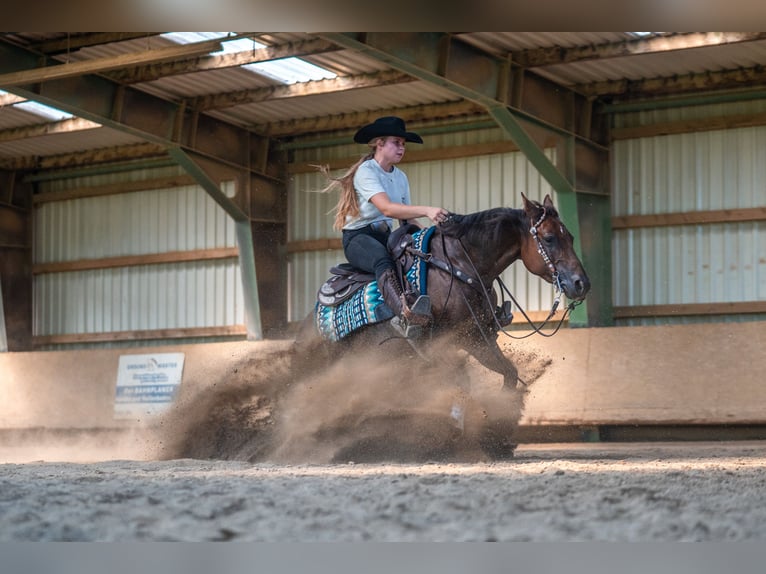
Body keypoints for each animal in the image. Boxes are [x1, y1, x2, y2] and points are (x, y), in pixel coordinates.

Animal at [292, 192, 590, 459]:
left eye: (571, 237)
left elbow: (508, 374)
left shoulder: (477, 339)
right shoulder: (439, 345)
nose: (581, 283)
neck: (460, 266)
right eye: (549, 238)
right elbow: (462, 383)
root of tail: (305, 330)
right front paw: (463, 429)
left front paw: (496, 435)